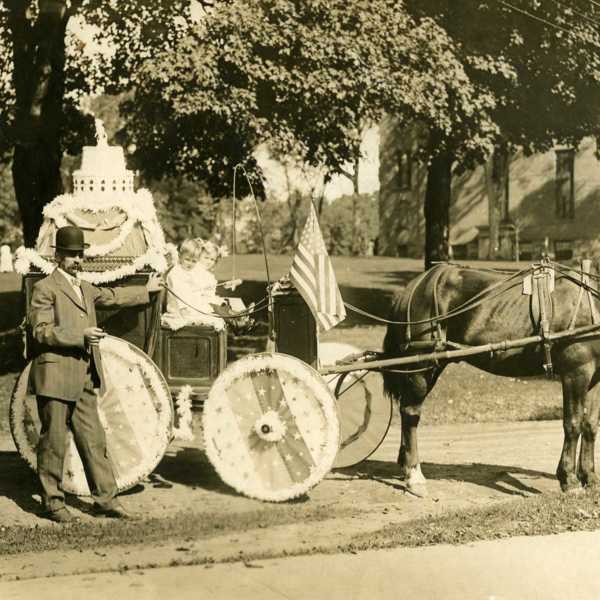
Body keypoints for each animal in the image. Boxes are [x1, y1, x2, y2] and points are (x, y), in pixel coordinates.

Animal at [382, 262, 600, 496]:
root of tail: (414, 287)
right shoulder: (575, 373)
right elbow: (573, 423)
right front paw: (569, 479)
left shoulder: (594, 378)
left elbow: (590, 425)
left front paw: (589, 477)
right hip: (422, 366)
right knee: (410, 413)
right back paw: (414, 475)